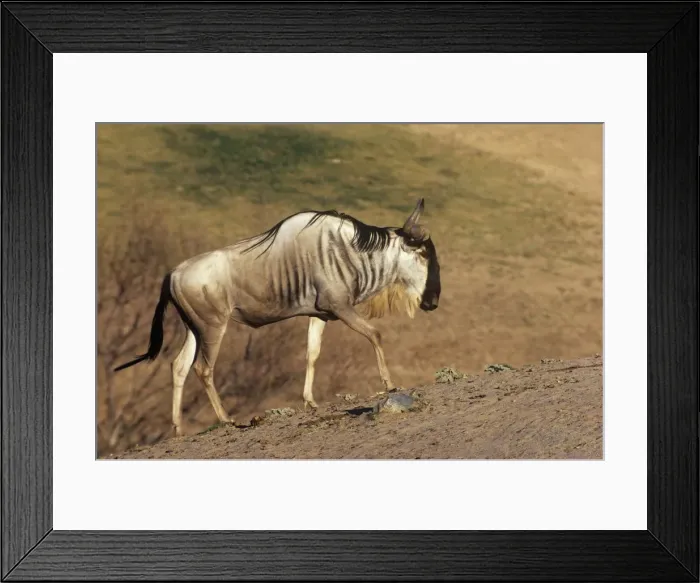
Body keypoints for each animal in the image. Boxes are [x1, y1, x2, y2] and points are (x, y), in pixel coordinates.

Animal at [114, 198, 441, 435]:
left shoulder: (321, 314)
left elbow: (312, 353)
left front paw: (309, 400)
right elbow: (375, 334)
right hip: (212, 327)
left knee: (179, 366)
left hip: (193, 329)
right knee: (203, 368)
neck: (349, 251)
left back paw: (178, 429)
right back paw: (226, 418)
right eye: (423, 254)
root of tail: (173, 273)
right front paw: (389, 383)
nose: (433, 301)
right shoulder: (342, 308)